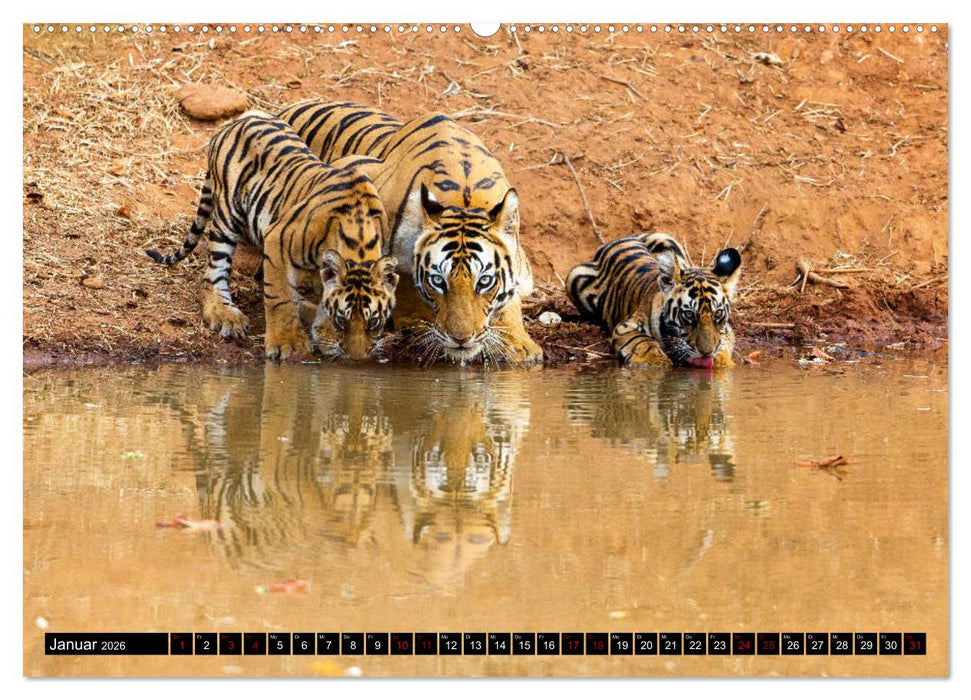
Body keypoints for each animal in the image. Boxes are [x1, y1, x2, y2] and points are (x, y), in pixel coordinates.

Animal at [145, 111, 398, 361]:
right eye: (342, 320)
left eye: (374, 322)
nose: (357, 358)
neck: (359, 242)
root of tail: (236, 121)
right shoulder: (278, 239)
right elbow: (280, 297)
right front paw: (288, 343)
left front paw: (324, 335)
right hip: (227, 214)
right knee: (212, 274)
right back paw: (226, 314)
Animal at [278, 100, 542, 365]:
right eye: (438, 281)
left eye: (485, 281)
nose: (460, 339)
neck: (464, 196)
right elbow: (401, 279)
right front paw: (414, 322)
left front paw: (518, 342)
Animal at [566, 233, 742, 368]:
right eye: (689, 315)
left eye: (718, 314)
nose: (707, 352)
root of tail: (623, 238)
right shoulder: (625, 327)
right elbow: (641, 342)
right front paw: (654, 361)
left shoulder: (727, 330)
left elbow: (724, 341)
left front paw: (721, 361)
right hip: (574, 277)